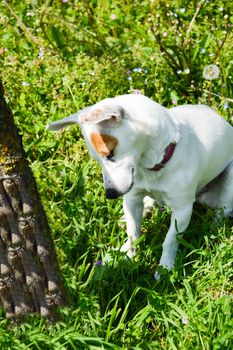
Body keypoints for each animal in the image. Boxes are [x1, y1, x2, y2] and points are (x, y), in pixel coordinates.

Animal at [47, 94, 233, 278]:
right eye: (96, 159)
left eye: (110, 154)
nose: (110, 194)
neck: (151, 166)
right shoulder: (132, 199)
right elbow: (133, 234)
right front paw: (125, 256)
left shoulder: (183, 209)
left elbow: (170, 240)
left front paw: (164, 268)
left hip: (227, 184)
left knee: (222, 210)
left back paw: (214, 228)